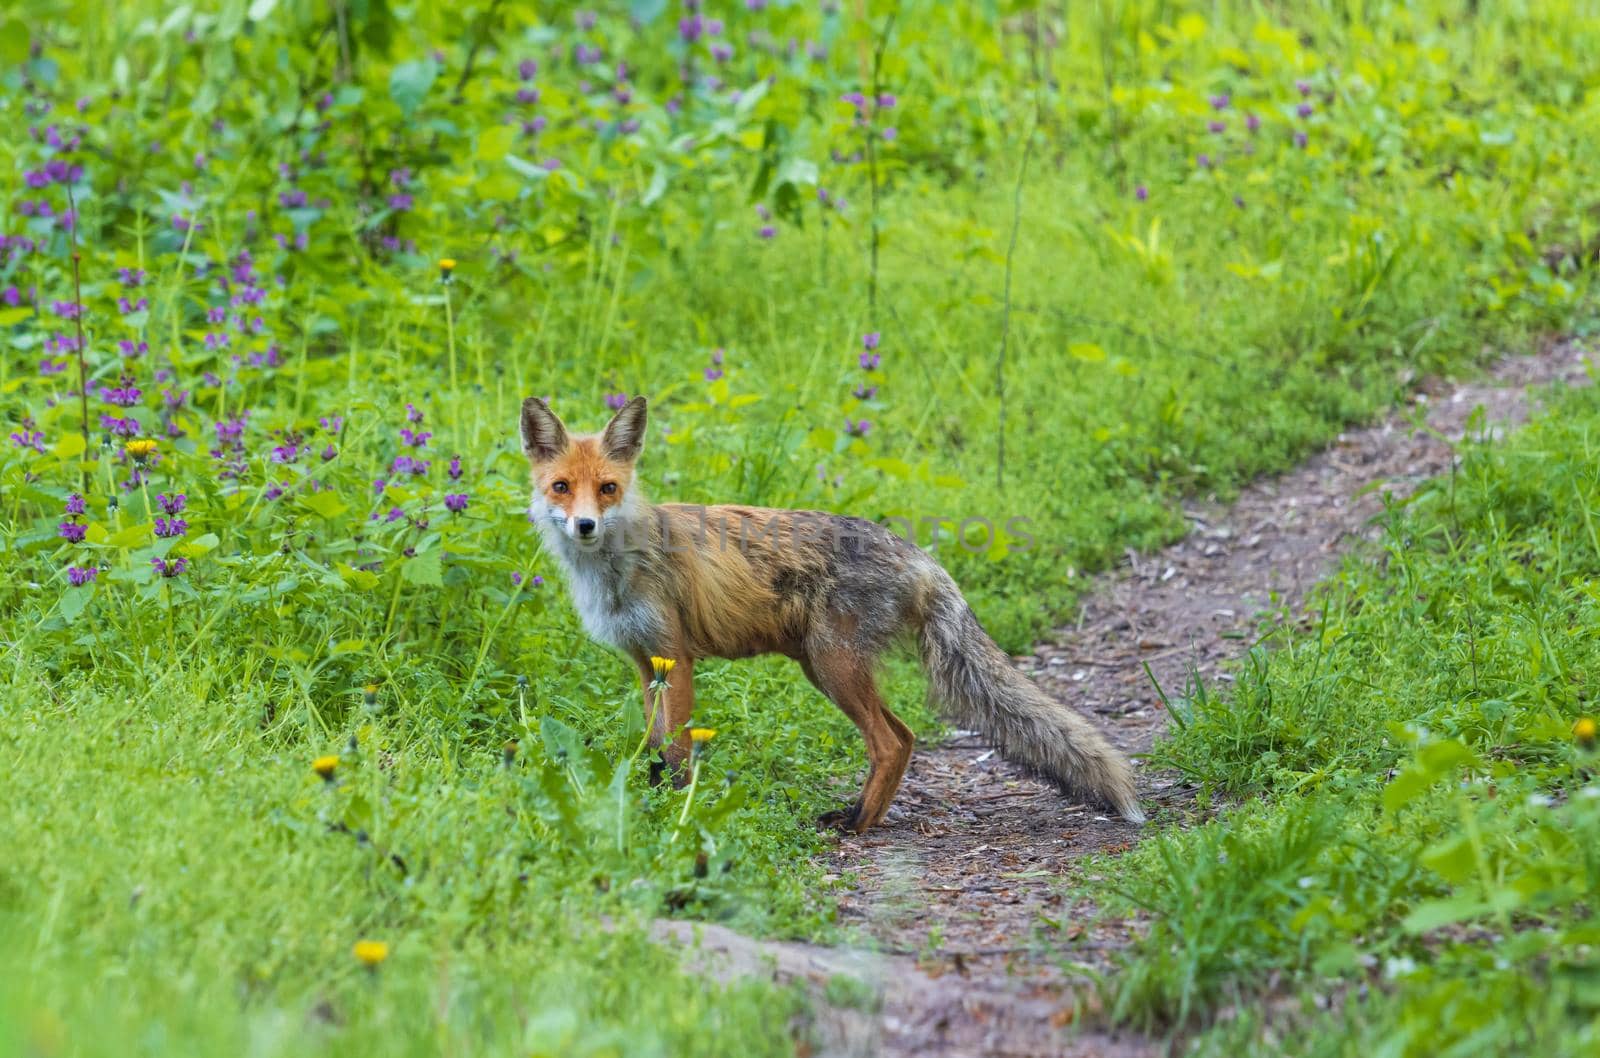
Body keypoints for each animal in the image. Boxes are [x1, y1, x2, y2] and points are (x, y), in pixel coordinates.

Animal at [518, 392, 1145, 832]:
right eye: (561, 486)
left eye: (606, 488)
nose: (585, 525)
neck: (617, 571)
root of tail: (917, 553)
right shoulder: (646, 663)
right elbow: (652, 747)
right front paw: (646, 800)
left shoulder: (677, 658)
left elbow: (676, 750)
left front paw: (676, 812)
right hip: (825, 670)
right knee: (907, 736)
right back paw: (862, 814)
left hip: (832, 667)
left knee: (889, 743)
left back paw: (856, 824)